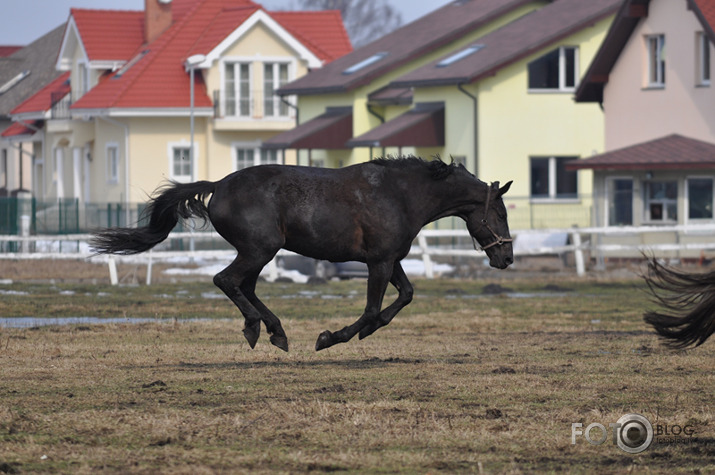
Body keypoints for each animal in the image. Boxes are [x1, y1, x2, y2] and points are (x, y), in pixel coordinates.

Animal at [91, 158, 516, 352]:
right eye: (499, 213)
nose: (507, 259)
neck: (400, 195)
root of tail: (219, 185)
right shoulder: (379, 262)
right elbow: (371, 309)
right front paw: (331, 337)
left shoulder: (389, 259)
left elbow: (405, 295)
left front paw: (366, 330)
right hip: (259, 249)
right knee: (226, 280)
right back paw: (258, 328)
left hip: (258, 252)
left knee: (244, 286)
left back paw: (274, 330)